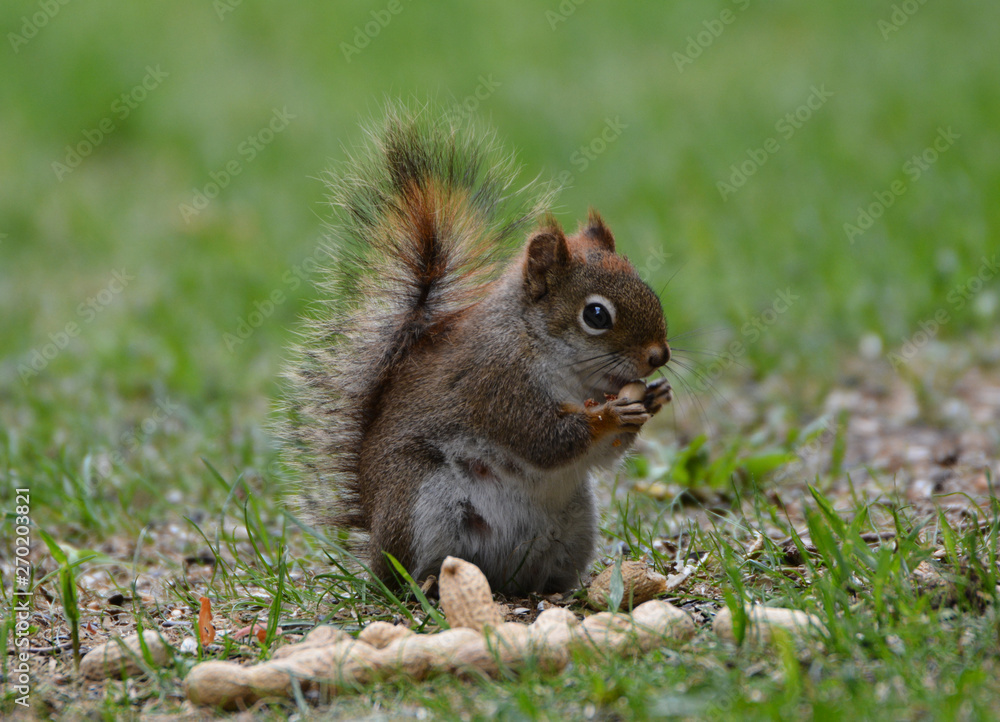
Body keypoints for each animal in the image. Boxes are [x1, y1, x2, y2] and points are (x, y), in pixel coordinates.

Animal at [282, 109, 672, 595]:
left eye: (645, 283)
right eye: (596, 315)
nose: (660, 355)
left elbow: (601, 455)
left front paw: (653, 399)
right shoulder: (495, 384)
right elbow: (544, 439)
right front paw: (610, 415)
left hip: (575, 525)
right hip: (420, 505)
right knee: (403, 575)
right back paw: (427, 586)